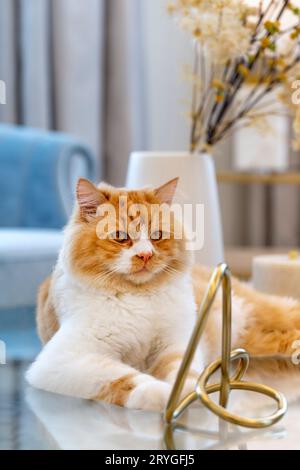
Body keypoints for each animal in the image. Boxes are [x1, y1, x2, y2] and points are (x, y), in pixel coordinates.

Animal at [27, 177, 298, 412]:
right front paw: (162, 395)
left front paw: (186, 394)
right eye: (120, 237)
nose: (145, 255)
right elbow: (126, 378)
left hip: (258, 311)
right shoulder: (66, 358)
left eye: (156, 236)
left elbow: (184, 373)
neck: (137, 298)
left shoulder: (175, 343)